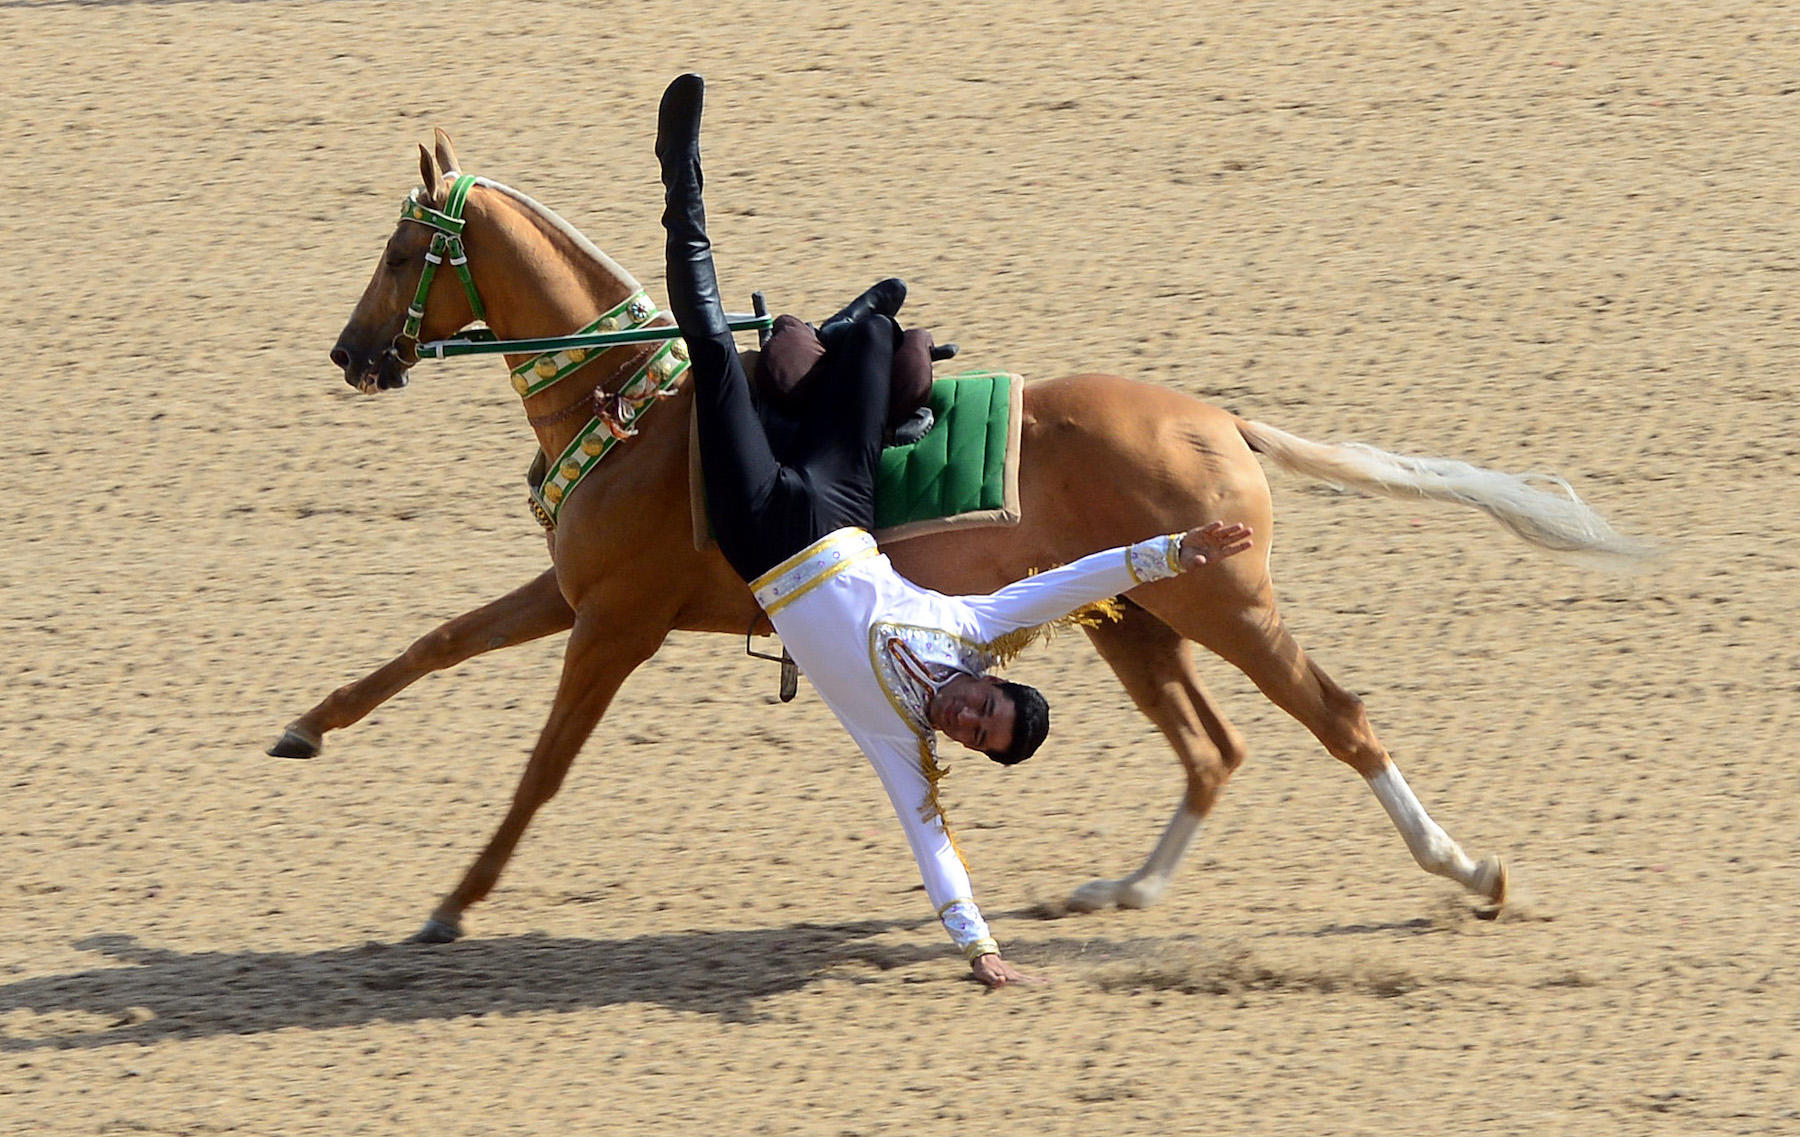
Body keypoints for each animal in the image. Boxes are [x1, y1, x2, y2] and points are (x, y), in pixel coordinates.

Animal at [306, 128, 1648, 942]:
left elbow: (540, 769)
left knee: (1339, 719)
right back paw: (1128, 887)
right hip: (1136, 617)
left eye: (399, 250)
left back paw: (1467, 871)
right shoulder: (574, 596)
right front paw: (308, 728)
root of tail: (1219, 419)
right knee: (1213, 751)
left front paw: (455, 902)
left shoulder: (616, 624)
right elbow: (432, 644)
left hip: (1225, 605)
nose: (350, 354)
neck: (636, 404)